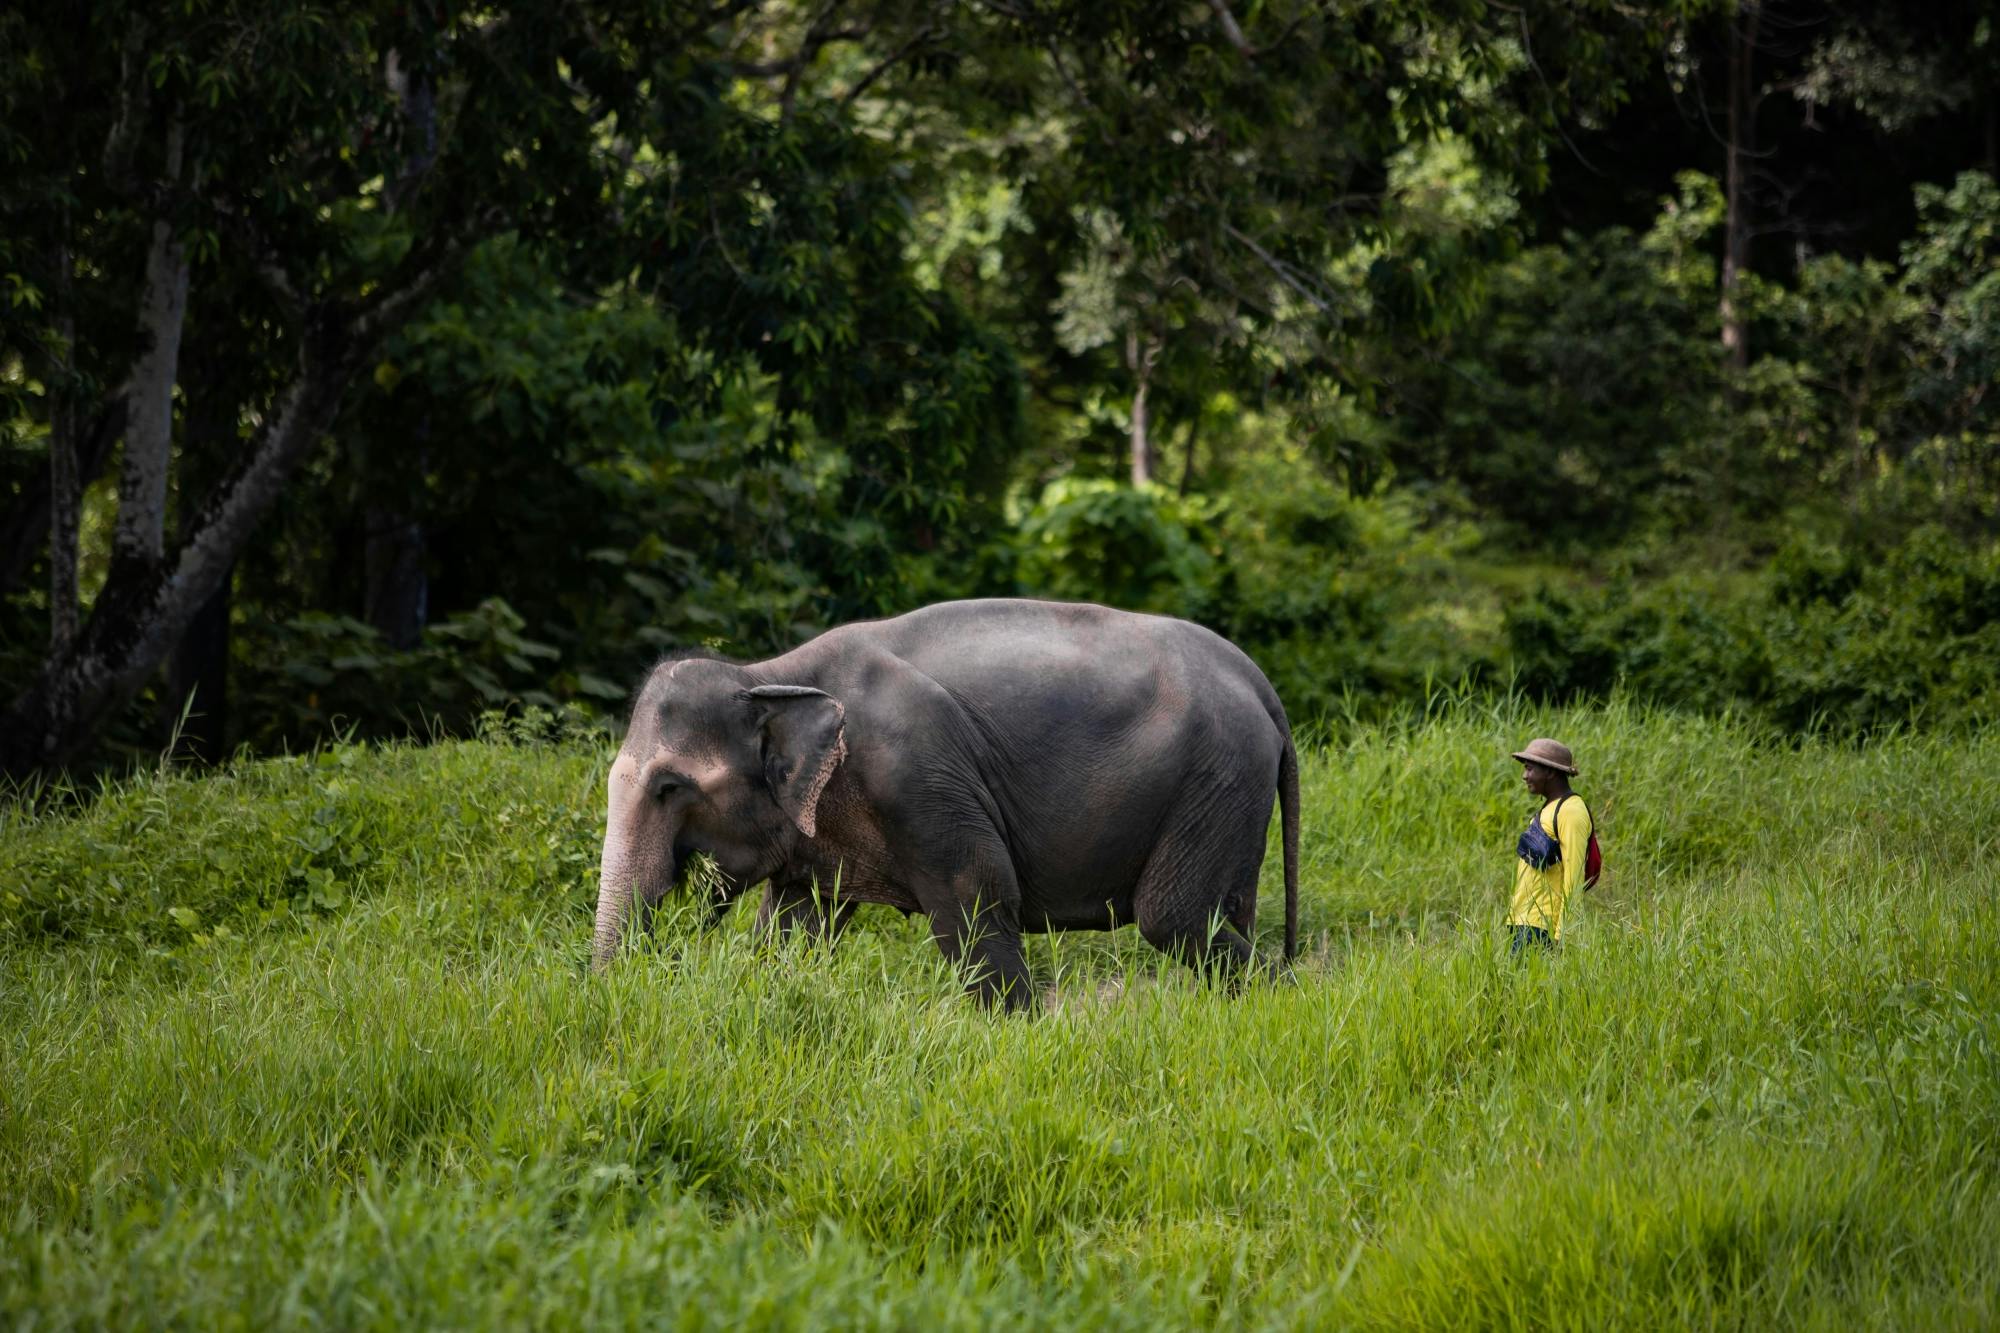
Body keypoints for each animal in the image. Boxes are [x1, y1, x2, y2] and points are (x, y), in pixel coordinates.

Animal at [588, 596, 1296, 1000]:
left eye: (670, 788)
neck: (769, 674)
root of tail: (1260, 681)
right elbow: (794, 929)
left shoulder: (916, 777)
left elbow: (978, 896)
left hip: (1218, 774)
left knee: (1173, 917)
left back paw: (1282, 1000)